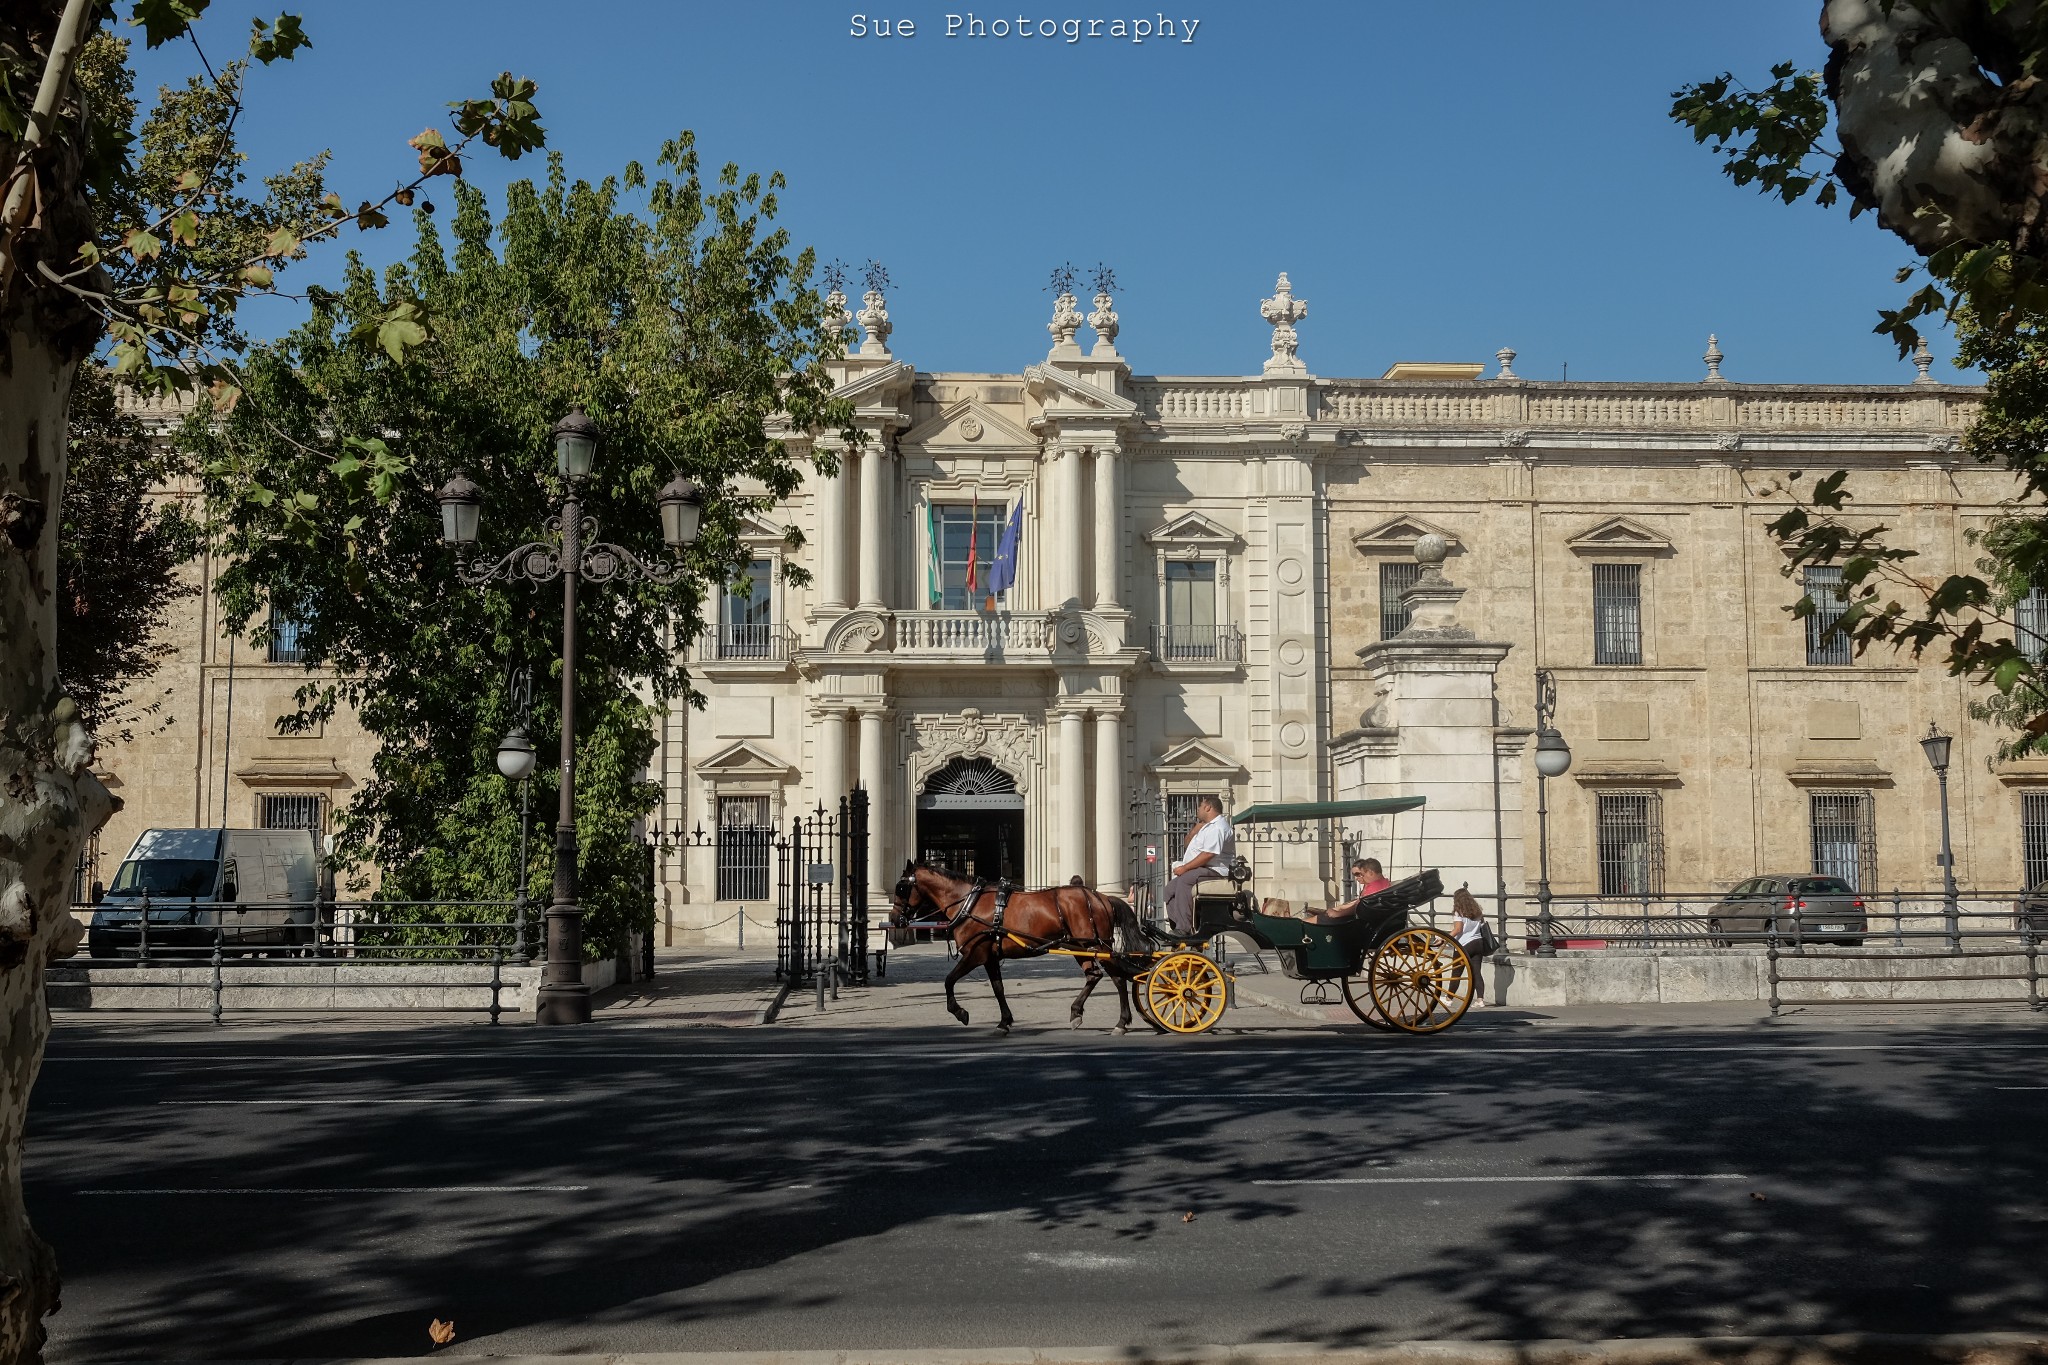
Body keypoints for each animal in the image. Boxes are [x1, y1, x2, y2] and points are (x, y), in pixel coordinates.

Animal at [888, 863, 1155, 1035]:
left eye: (901, 887)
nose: (893, 919)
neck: (969, 903)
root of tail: (1101, 896)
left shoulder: (975, 954)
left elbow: (949, 980)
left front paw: (959, 1012)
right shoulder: (989, 957)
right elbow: (998, 988)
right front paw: (1004, 1021)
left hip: (1097, 946)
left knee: (1118, 978)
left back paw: (1121, 1023)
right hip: (1082, 947)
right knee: (1095, 975)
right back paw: (1077, 1013)